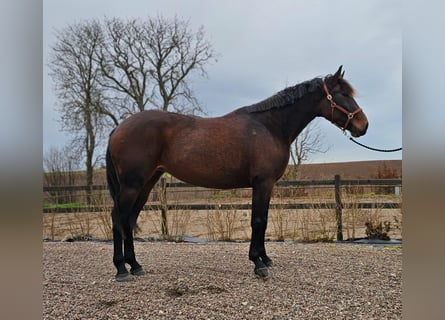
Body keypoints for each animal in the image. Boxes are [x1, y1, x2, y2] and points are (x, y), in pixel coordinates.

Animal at [105, 65, 368, 280]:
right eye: (344, 94)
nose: (363, 126)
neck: (269, 127)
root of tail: (119, 128)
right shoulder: (262, 182)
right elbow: (258, 220)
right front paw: (258, 264)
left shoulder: (267, 185)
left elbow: (264, 220)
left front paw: (265, 259)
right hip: (132, 185)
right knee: (118, 218)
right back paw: (121, 270)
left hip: (147, 183)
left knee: (129, 219)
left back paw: (135, 266)